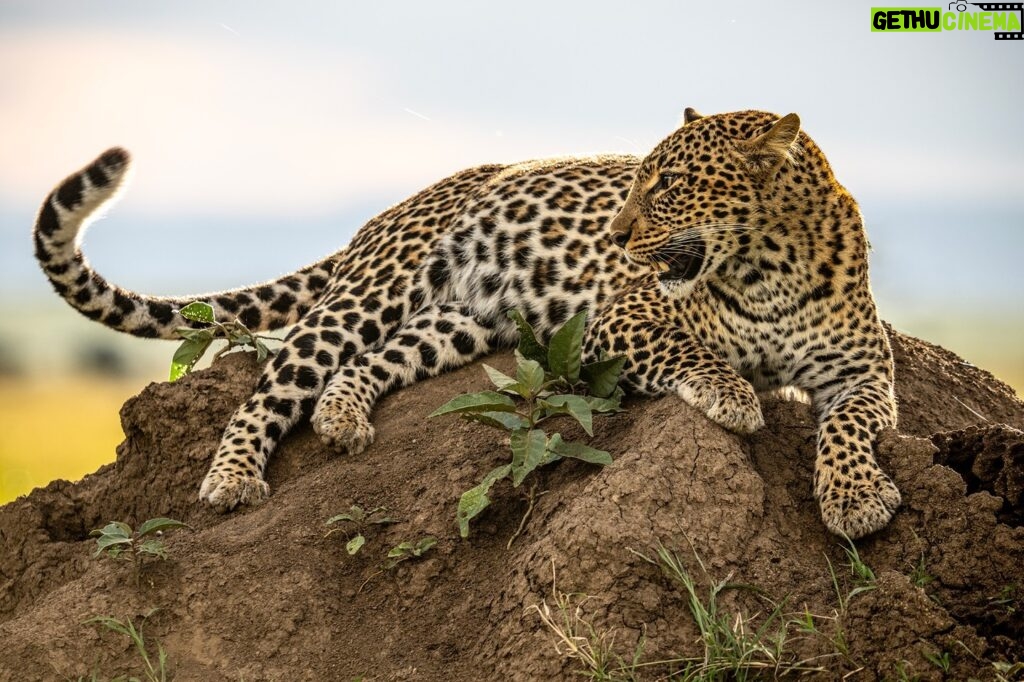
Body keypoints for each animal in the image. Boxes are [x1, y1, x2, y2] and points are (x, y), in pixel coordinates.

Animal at [32, 109, 901, 540]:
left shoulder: (865, 371)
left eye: (670, 186)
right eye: (640, 180)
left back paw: (343, 421)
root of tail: (389, 210)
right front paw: (734, 395)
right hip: (376, 290)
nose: (618, 234)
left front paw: (855, 496)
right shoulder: (620, 316)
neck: (769, 265)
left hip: (464, 322)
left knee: (364, 366)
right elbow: (690, 348)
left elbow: (852, 425)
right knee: (277, 382)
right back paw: (232, 477)